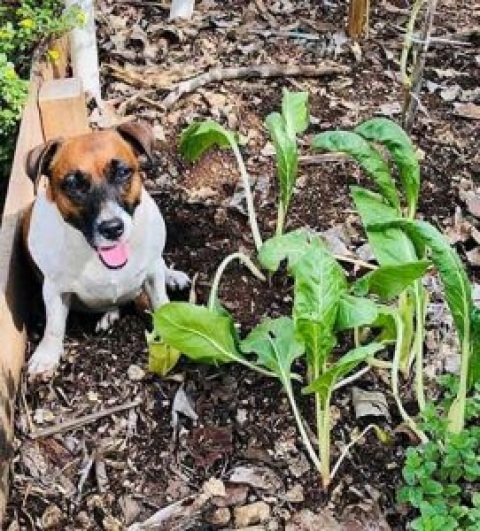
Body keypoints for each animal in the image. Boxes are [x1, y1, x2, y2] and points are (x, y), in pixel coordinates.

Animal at [23, 120, 188, 378]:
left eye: (122, 172)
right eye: (73, 184)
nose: (112, 228)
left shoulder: (152, 274)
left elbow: (162, 302)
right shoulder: (54, 289)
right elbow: (54, 326)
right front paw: (46, 356)